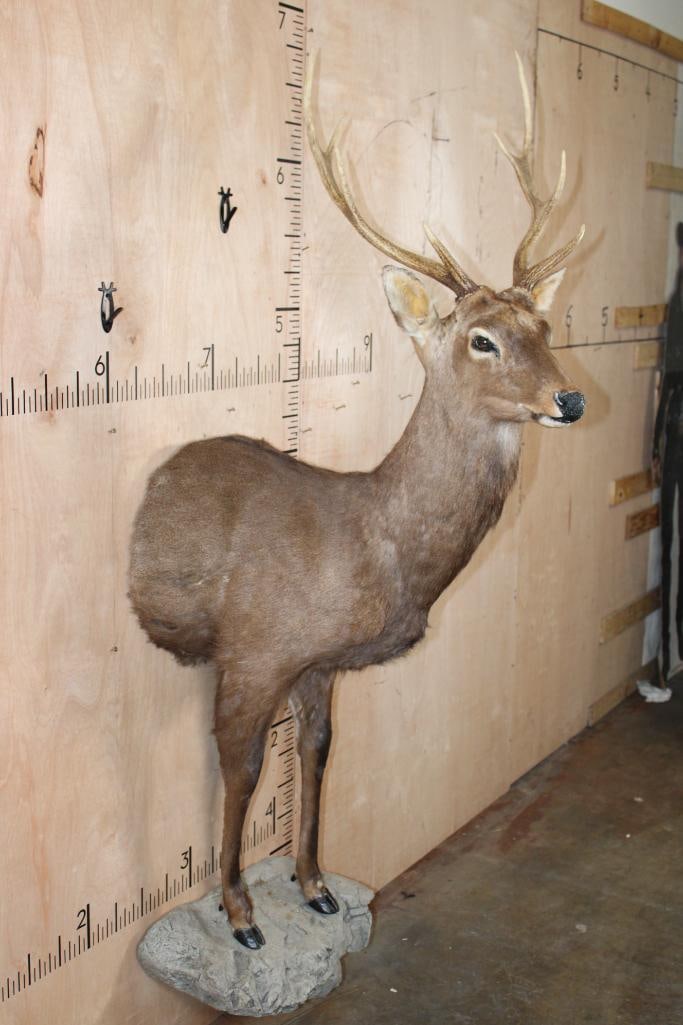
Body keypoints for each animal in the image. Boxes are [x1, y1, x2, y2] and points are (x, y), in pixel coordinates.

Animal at [128, 54, 586, 951]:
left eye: (544, 325)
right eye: (481, 338)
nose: (570, 398)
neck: (375, 550)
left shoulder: (320, 663)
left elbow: (317, 753)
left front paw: (313, 886)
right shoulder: (255, 648)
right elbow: (240, 768)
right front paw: (239, 913)